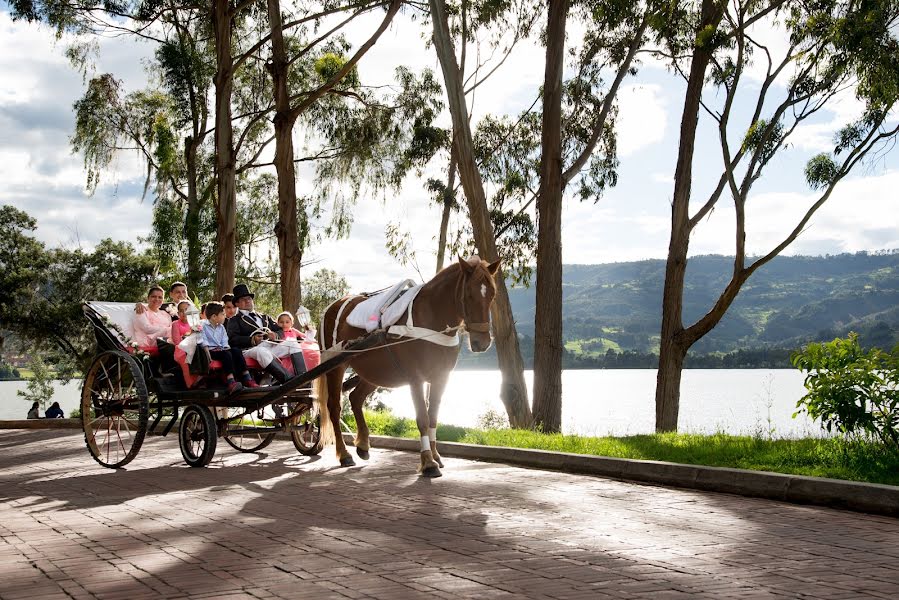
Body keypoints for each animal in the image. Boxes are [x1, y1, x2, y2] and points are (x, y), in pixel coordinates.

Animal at [314, 255, 500, 476]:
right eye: (469, 295)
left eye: (492, 294)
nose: (482, 342)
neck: (430, 318)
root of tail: (332, 307)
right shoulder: (415, 378)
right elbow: (422, 419)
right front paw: (428, 461)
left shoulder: (441, 378)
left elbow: (433, 418)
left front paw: (435, 455)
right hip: (336, 367)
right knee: (334, 407)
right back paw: (344, 454)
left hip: (375, 371)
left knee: (355, 398)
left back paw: (363, 445)